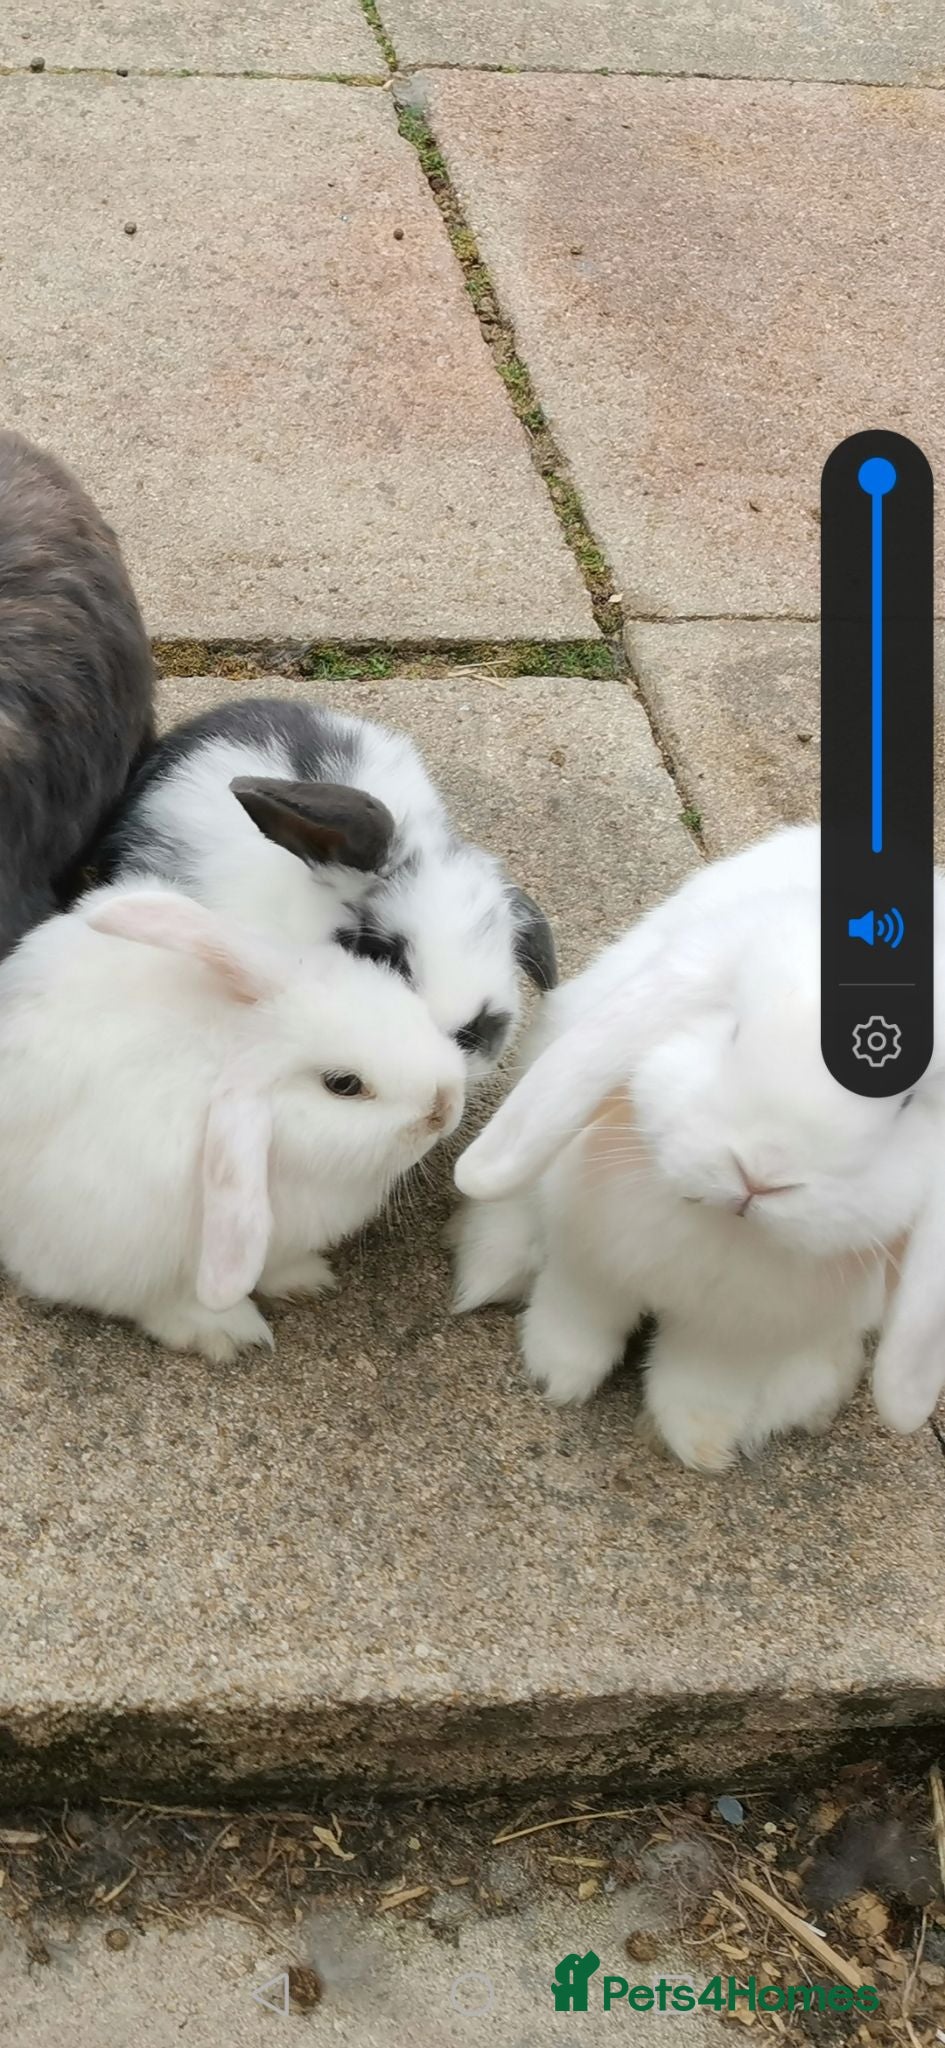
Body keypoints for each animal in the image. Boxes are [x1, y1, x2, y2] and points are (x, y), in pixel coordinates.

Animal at [451, 825, 945, 1471]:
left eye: (907, 1103)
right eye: (732, 1032)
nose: (760, 1174)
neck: (719, 1230)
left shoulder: (738, 1335)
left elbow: (704, 1383)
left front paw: (699, 1443)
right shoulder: (590, 1253)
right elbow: (578, 1310)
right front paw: (557, 1375)